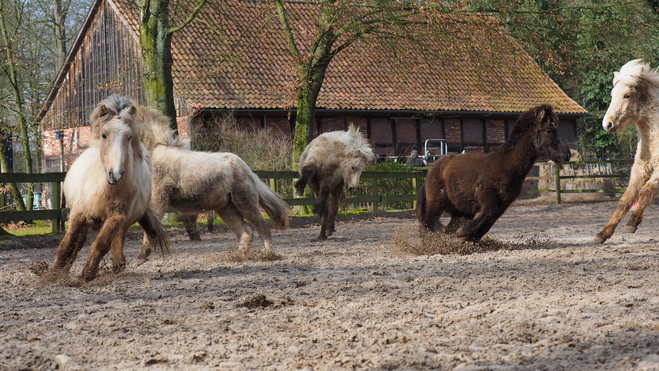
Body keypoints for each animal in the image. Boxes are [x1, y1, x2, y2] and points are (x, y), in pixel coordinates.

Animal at [45, 96, 170, 282]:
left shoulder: (116, 217)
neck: (104, 190)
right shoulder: (78, 214)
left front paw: (87, 274)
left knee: (116, 240)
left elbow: (102, 245)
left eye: (129, 137)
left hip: (124, 222)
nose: (115, 174)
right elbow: (66, 245)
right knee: (78, 242)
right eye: (104, 135)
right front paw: (51, 275)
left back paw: (118, 265)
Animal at [137, 104, 288, 262]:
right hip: (227, 209)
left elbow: (150, 228)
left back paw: (269, 254)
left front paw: (142, 256)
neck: (153, 154)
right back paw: (239, 256)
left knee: (263, 227)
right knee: (246, 231)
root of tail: (248, 170)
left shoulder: (158, 198)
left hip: (246, 204)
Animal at [418, 104, 572, 241]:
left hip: (459, 211)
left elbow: (489, 220)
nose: (567, 154)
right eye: (549, 131)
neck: (505, 165)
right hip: (436, 203)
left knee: (444, 227)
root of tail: (432, 170)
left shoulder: (505, 201)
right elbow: (488, 213)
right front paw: (464, 232)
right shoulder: (485, 193)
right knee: (426, 226)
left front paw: (468, 237)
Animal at [596, 58, 659, 244]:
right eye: (612, 94)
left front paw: (632, 224)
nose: (607, 124)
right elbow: (625, 199)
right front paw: (603, 233)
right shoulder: (639, 170)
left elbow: (645, 191)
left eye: (627, 95)